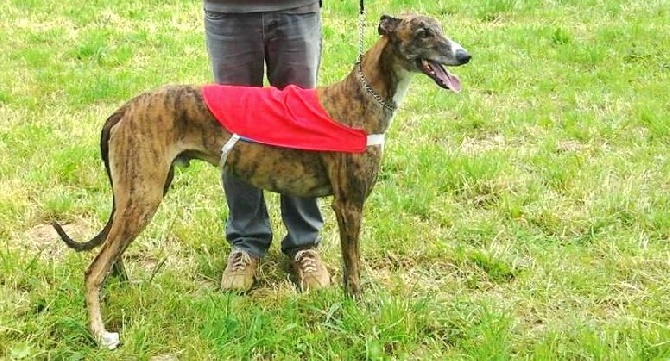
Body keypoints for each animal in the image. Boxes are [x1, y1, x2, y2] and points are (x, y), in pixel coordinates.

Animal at [52, 12, 472, 348]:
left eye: (440, 28)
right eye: (422, 32)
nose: (465, 55)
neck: (362, 97)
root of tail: (126, 107)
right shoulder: (350, 205)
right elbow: (353, 265)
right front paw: (359, 306)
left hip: (140, 192)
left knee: (111, 255)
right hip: (144, 194)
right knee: (94, 269)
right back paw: (100, 334)